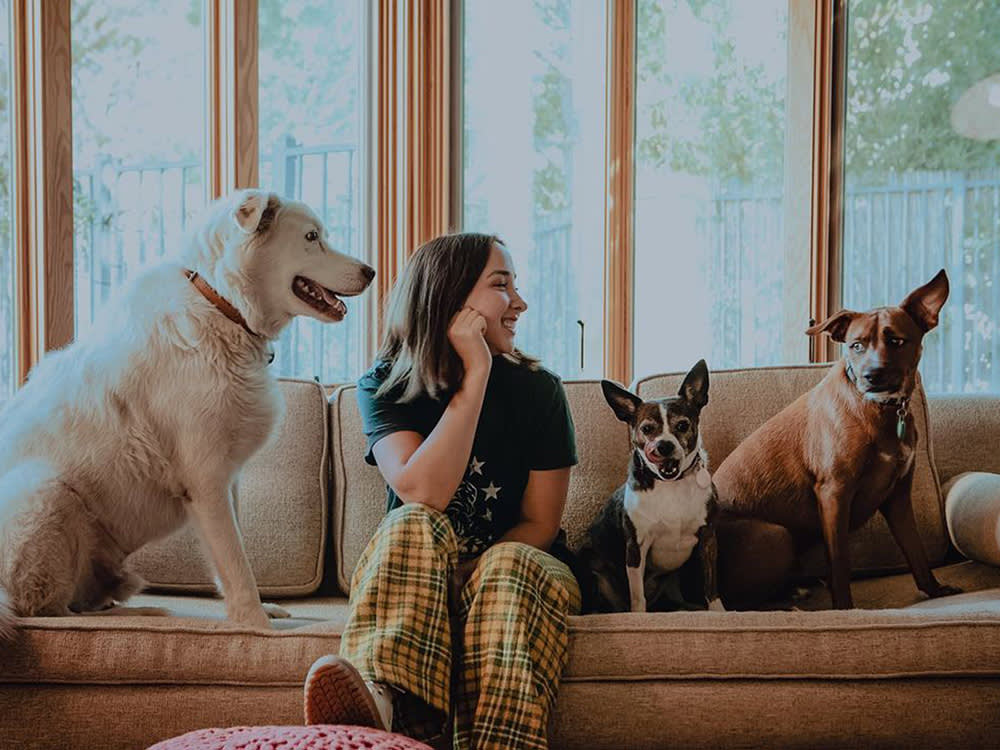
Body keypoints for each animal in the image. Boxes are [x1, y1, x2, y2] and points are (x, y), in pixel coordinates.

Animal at [0, 187, 376, 636]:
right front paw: (257, 626)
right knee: (49, 611)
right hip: (47, 491)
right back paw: (145, 615)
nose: (372, 272)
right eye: (311, 237)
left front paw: (260, 612)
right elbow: (236, 563)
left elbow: (233, 553)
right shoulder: (206, 478)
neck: (222, 307)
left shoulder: (225, 481)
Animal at [576, 362, 724, 612]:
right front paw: (639, 615)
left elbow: (711, 584)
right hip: (596, 570)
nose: (663, 446)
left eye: (682, 425)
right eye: (646, 429)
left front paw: (718, 611)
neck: (671, 484)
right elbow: (637, 595)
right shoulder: (636, 546)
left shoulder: (708, 538)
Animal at [712, 270, 960, 612]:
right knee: (742, 604)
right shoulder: (834, 492)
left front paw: (933, 590)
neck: (878, 408)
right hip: (776, 535)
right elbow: (840, 561)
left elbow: (916, 551)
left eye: (896, 340)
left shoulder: (898, 496)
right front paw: (844, 608)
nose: (871, 375)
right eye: (856, 345)